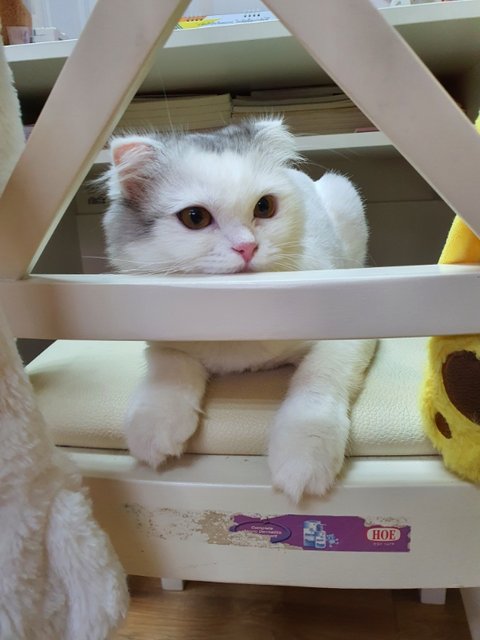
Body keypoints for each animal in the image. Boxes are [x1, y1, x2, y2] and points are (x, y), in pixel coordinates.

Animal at [102, 119, 376, 503]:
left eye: (264, 207)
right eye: (195, 217)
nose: (247, 247)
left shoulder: (349, 339)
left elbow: (316, 384)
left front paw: (303, 455)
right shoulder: (162, 341)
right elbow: (167, 372)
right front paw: (153, 429)